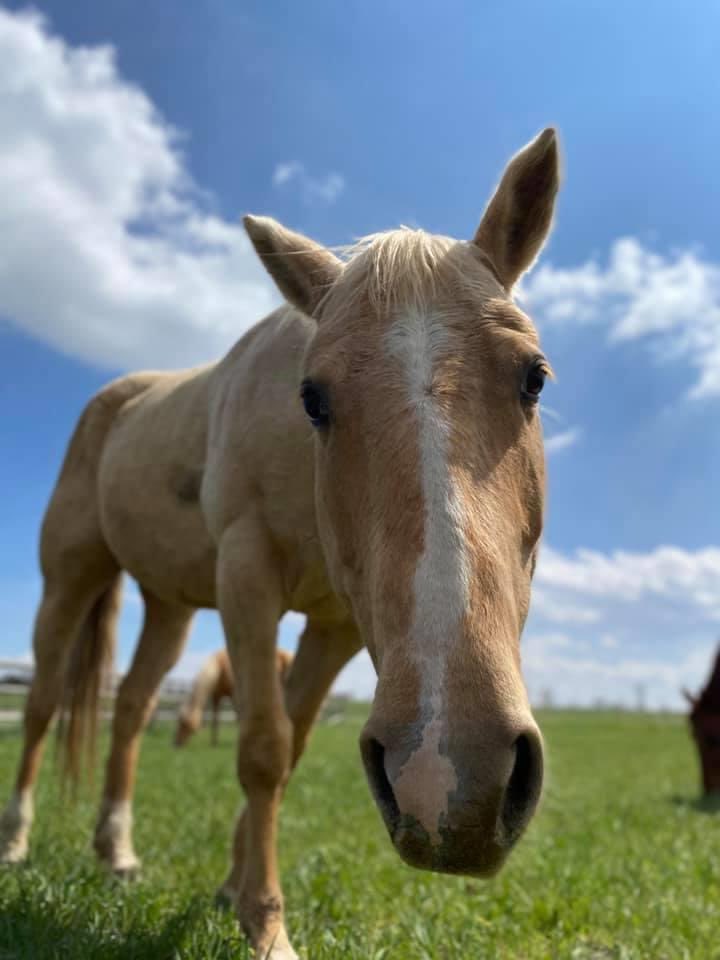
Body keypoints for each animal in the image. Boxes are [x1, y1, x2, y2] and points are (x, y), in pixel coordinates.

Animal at [0, 128, 560, 959]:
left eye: (535, 377)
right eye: (312, 399)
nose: (449, 779)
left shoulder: (335, 625)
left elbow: (291, 749)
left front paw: (232, 888)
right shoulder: (248, 581)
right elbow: (262, 748)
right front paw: (265, 923)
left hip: (168, 605)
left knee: (131, 708)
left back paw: (117, 851)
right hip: (70, 577)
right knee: (41, 704)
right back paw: (15, 840)